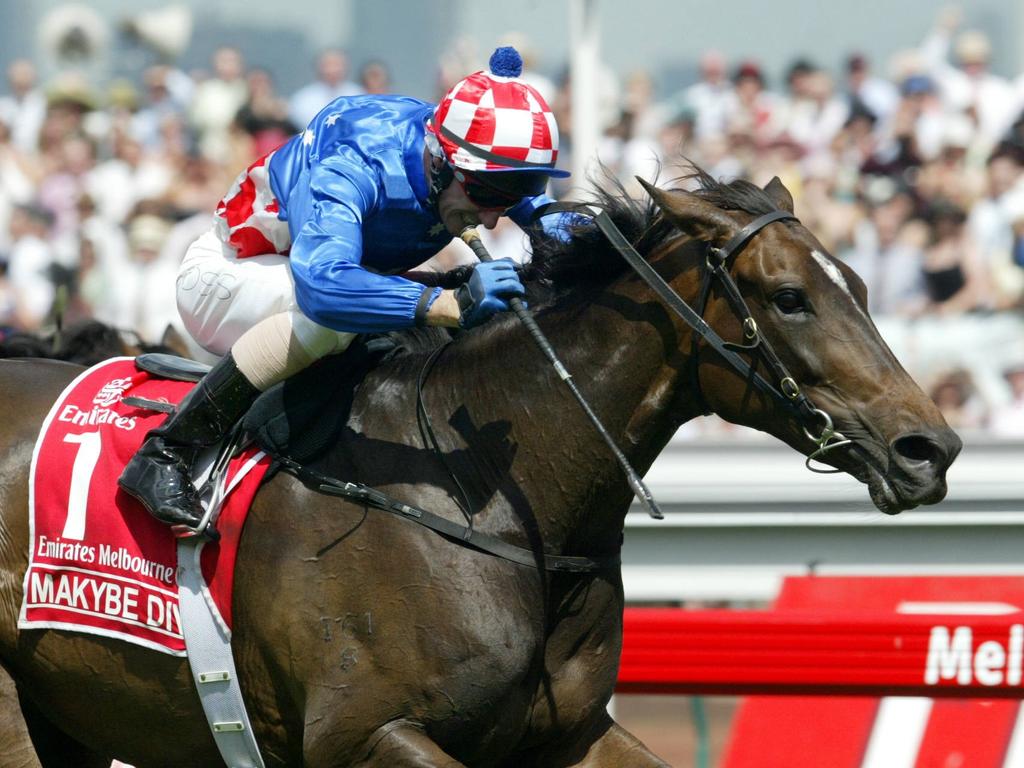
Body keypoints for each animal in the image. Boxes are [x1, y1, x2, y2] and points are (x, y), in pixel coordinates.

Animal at [0, 174, 958, 768]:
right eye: (789, 298)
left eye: (859, 285)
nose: (930, 449)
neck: (495, 508)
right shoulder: (364, 736)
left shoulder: (567, 736)